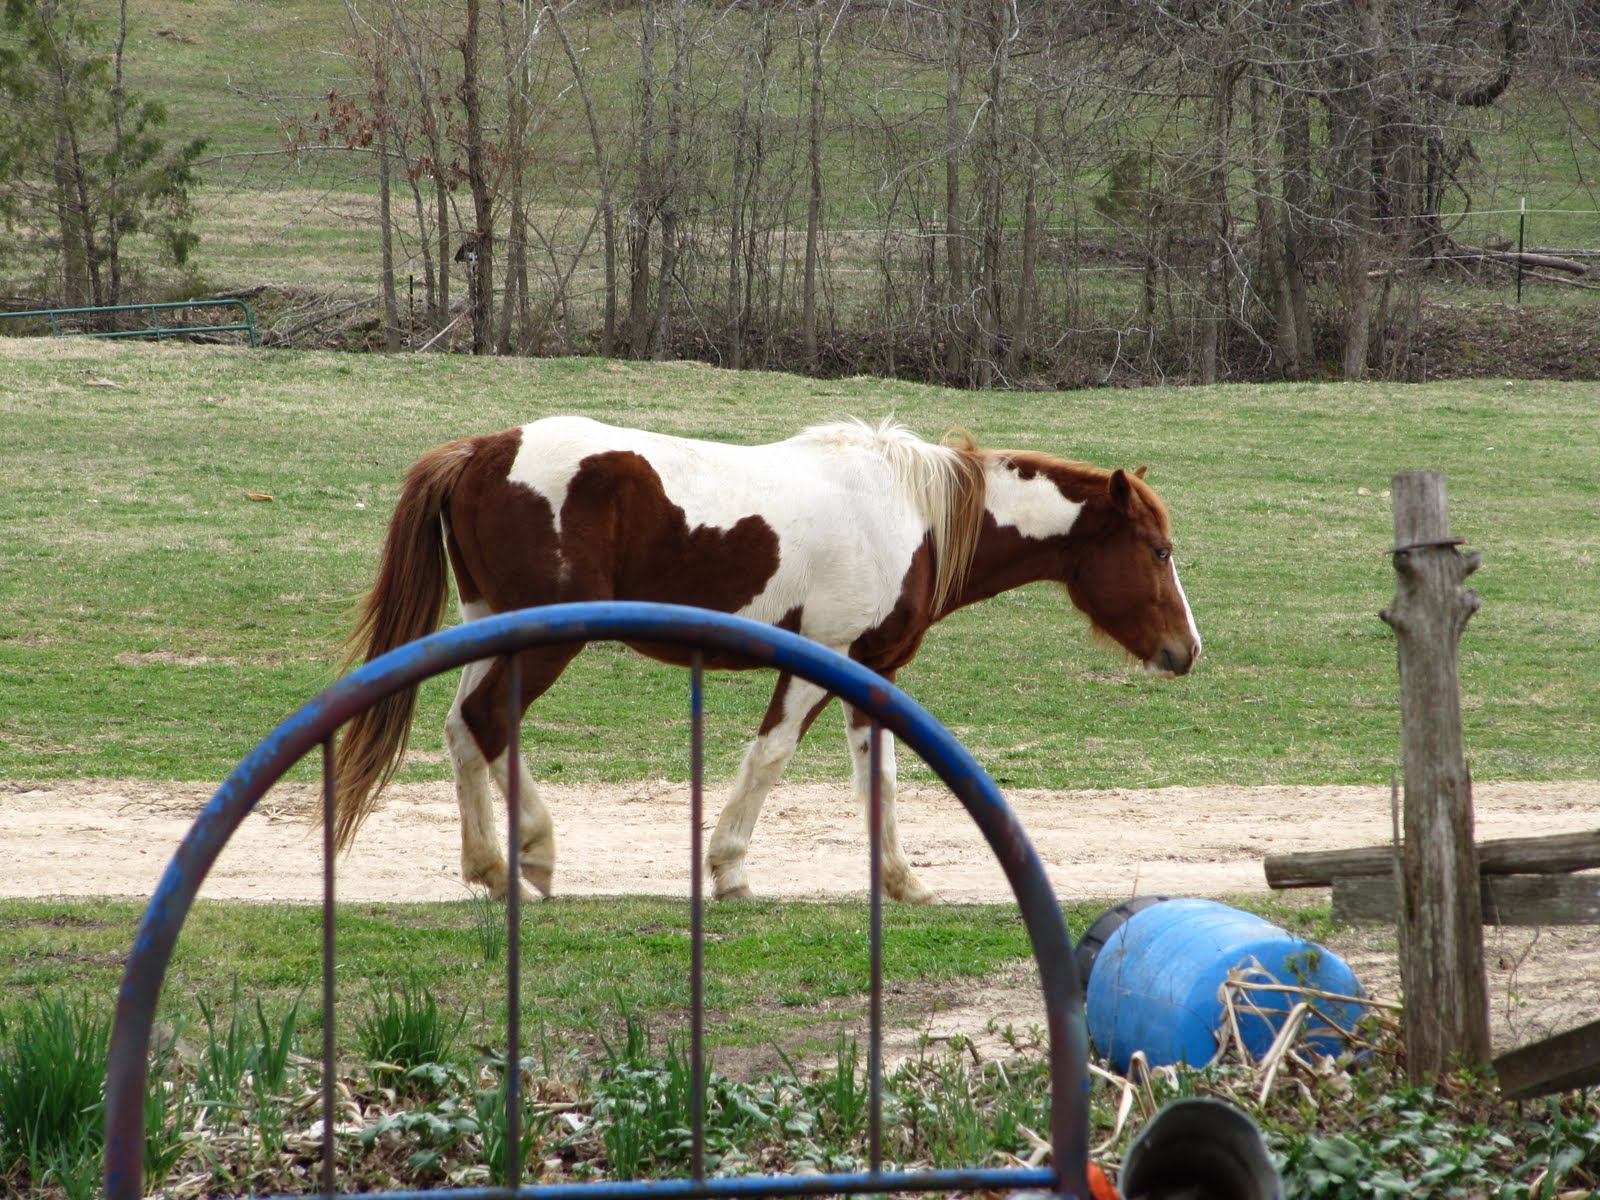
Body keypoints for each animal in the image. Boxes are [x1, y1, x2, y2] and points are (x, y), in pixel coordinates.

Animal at [332, 416, 1201, 903]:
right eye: (1158, 551)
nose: (1186, 651)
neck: (913, 515)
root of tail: (483, 450)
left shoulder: (873, 671)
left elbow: (881, 778)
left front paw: (901, 881)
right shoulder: (824, 657)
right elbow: (770, 757)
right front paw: (729, 870)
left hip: (495, 629)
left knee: (466, 730)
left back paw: (510, 859)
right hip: (545, 639)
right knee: (486, 725)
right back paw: (516, 863)